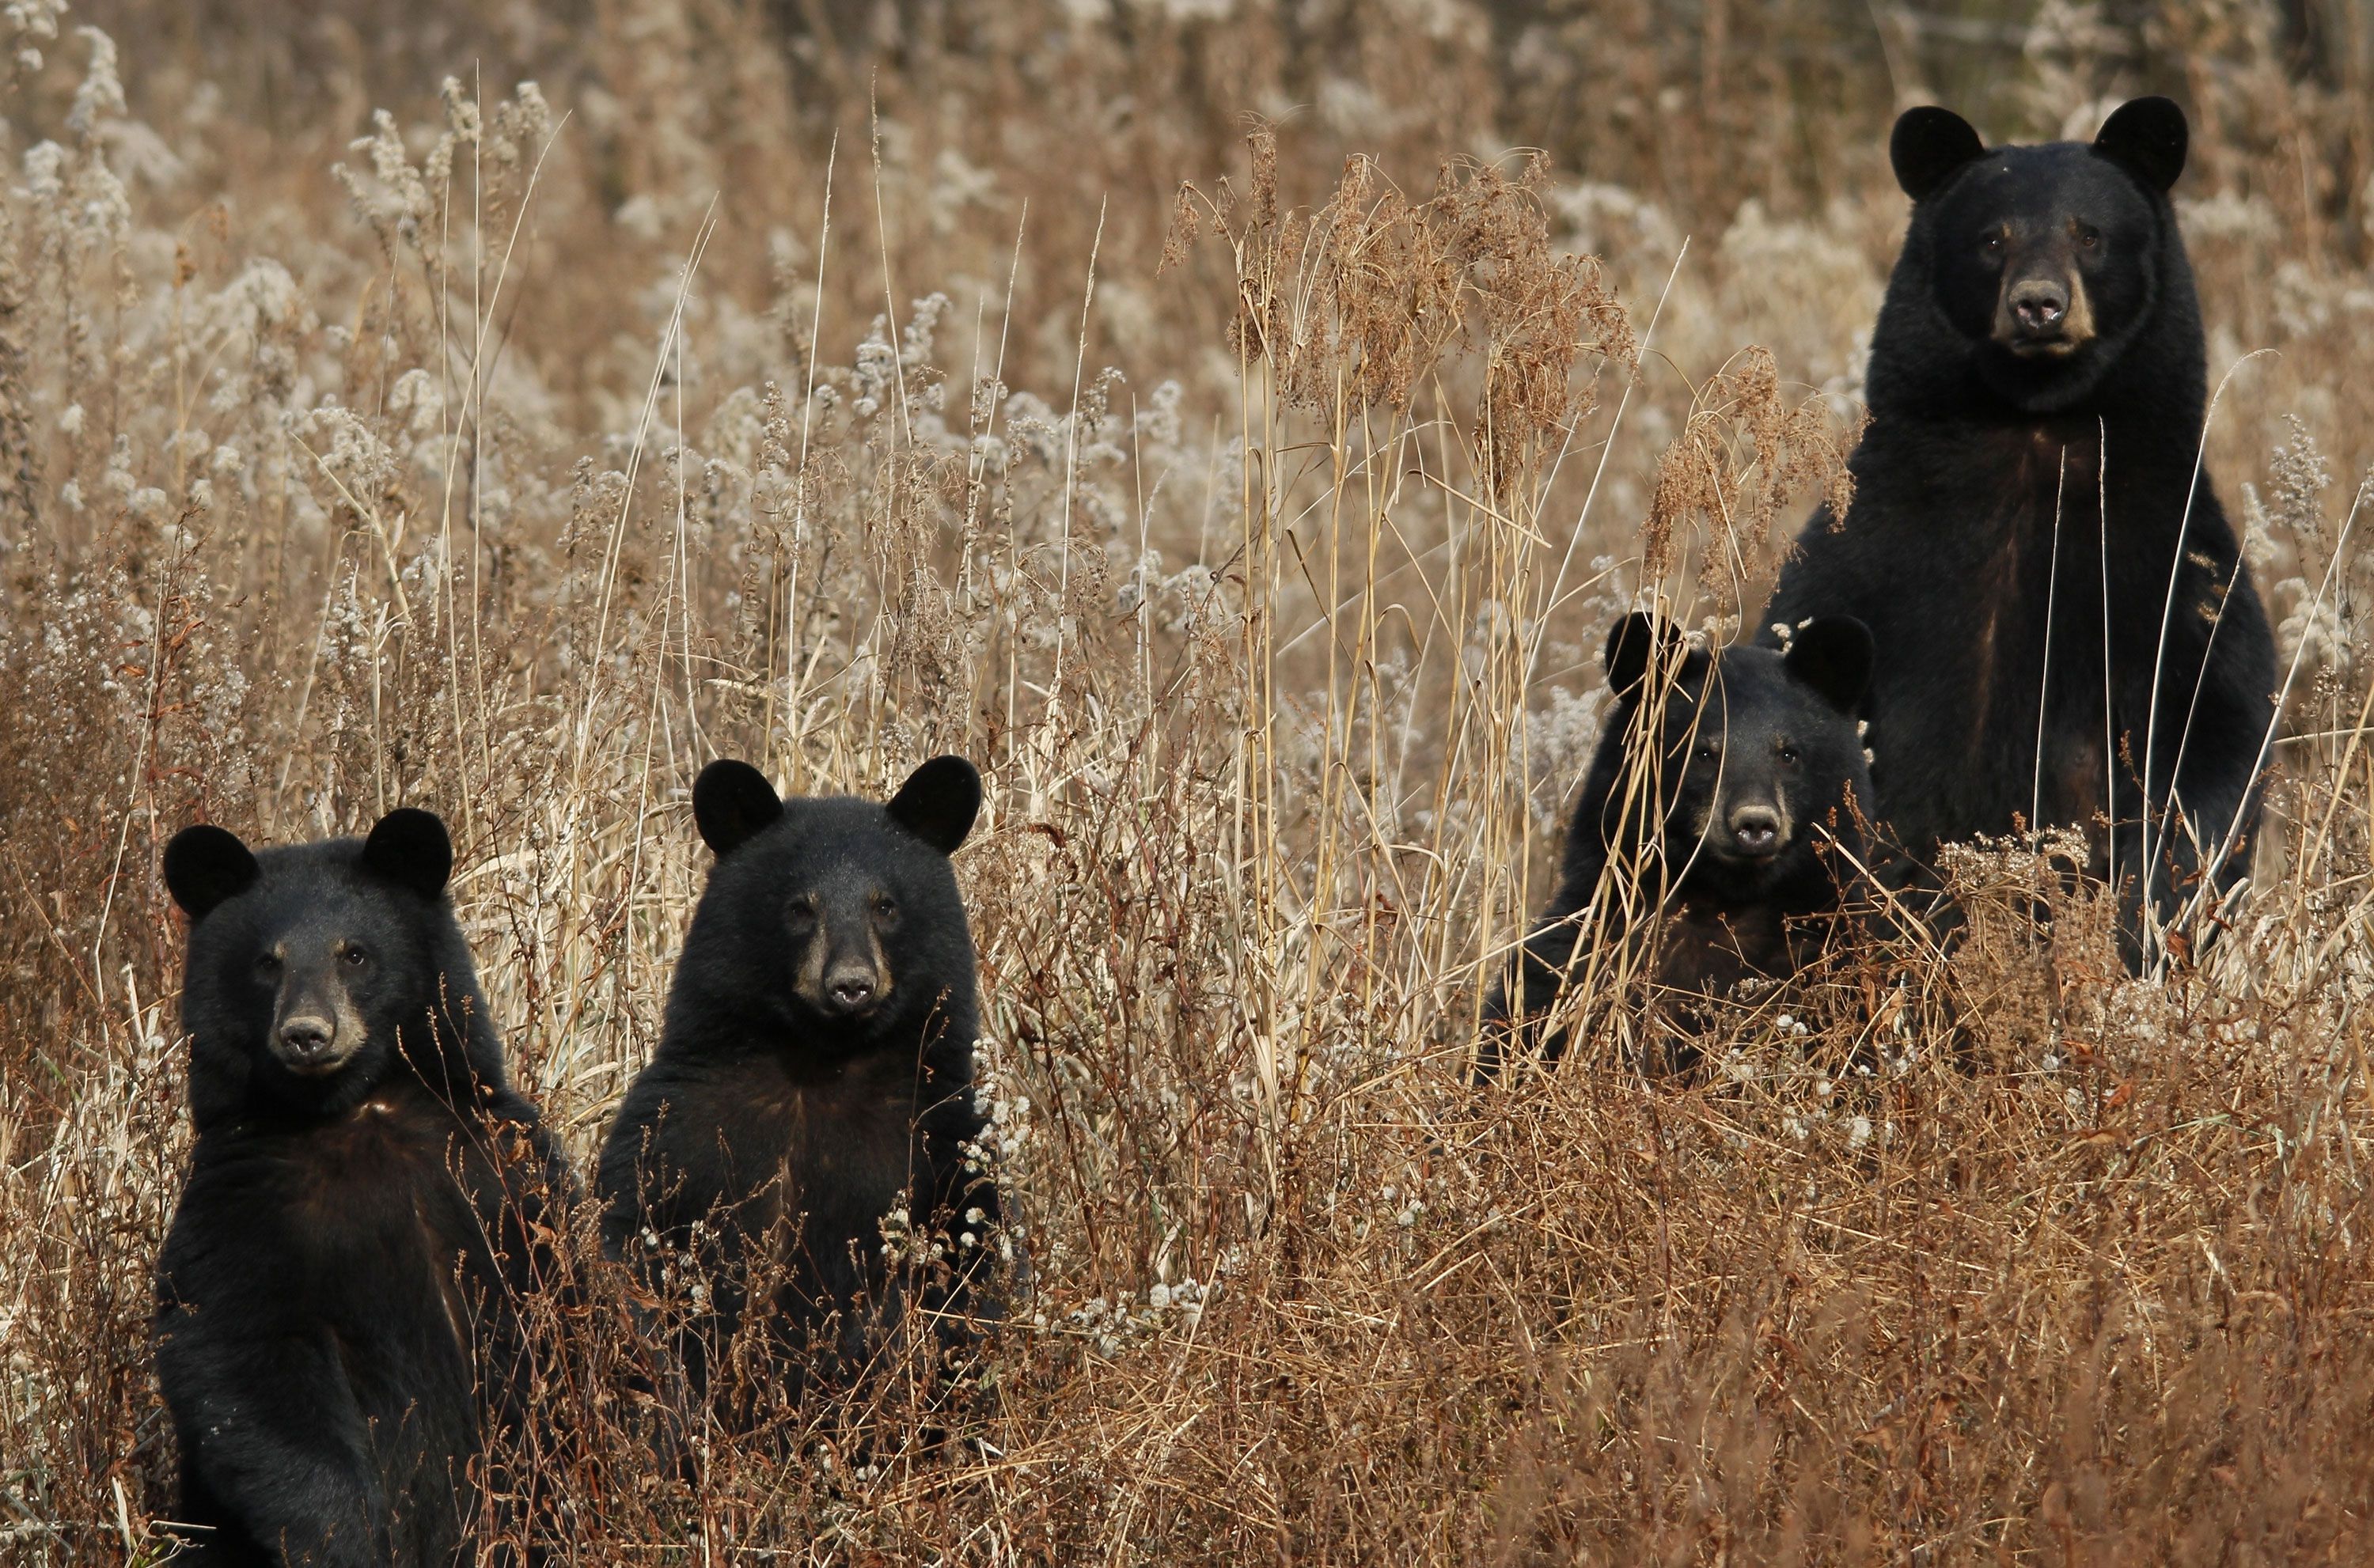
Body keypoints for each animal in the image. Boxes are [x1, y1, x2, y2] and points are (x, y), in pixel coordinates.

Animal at [153, 806, 570, 1566]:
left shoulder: (498, 1169)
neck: (355, 1109)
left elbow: (565, 1299)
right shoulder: (238, 1206)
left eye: (355, 954)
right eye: (268, 962)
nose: (307, 1034)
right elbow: (244, 1360)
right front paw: (344, 1536)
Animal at [598, 754, 1007, 1423]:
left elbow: (968, 1262)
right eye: (799, 908)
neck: (822, 1061)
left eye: (886, 906)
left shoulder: (943, 1131)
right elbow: (634, 1236)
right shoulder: (681, 1122)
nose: (851, 984)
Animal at [1472, 612, 1880, 1077]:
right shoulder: (1582, 959)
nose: (1755, 823)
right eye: (1702, 753)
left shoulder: (1825, 962)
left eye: (1789, 754)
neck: (1725, 900)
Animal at [1766, 97, 2279, 958]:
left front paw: (2143, 913)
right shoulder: (1868, 556)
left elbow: (2213, 729)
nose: (2039, 303)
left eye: (2090, 233)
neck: (2037, 434)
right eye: (1992, 238)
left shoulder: (2167, 563)